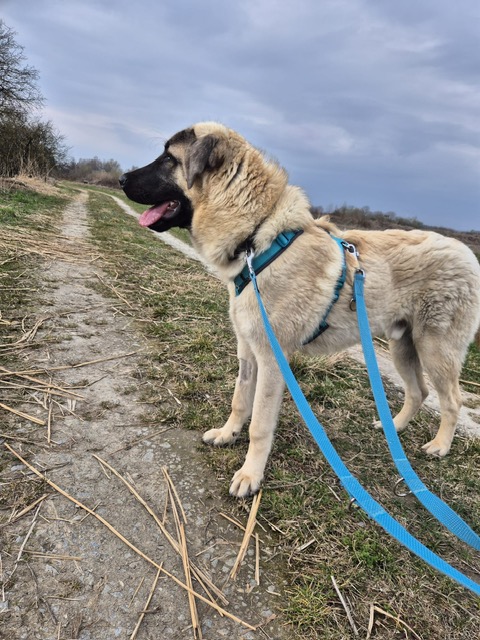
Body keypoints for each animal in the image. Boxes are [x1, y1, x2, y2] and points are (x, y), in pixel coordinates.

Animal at [120, 122, 480, 498]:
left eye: (168, 159)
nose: (120, 179)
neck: (256, 237)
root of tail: (464, 251)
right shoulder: (247, 351)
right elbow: (239, 401)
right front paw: (227, 434)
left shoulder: (271, 361)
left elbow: (259, 425)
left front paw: (250, 475)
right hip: (403, 346)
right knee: (418, 392)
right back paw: (392, 427)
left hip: (435, 349)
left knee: (451, 399)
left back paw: (439, 445)